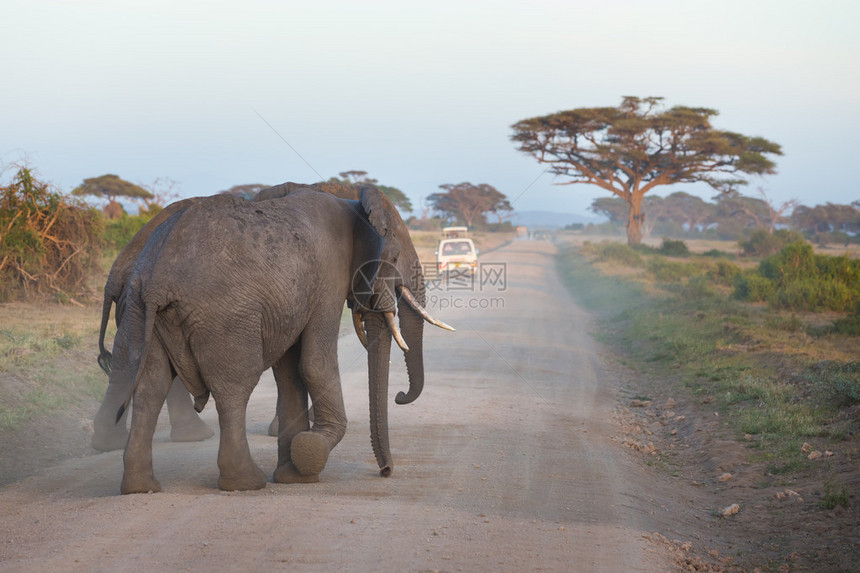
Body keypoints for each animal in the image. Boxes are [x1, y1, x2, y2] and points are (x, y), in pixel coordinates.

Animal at [107, 184, 454, 492]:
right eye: (393, 258)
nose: (386, 471)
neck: (353, 204)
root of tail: (159, 277)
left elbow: (290, 376)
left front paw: (295, 476)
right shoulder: (328, 279)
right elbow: (315, 364)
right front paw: (310, 451)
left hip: (137, 310)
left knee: (149, 387)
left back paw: (141, 487)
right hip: (223, 316)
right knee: (234, 388)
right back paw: (246, 482)